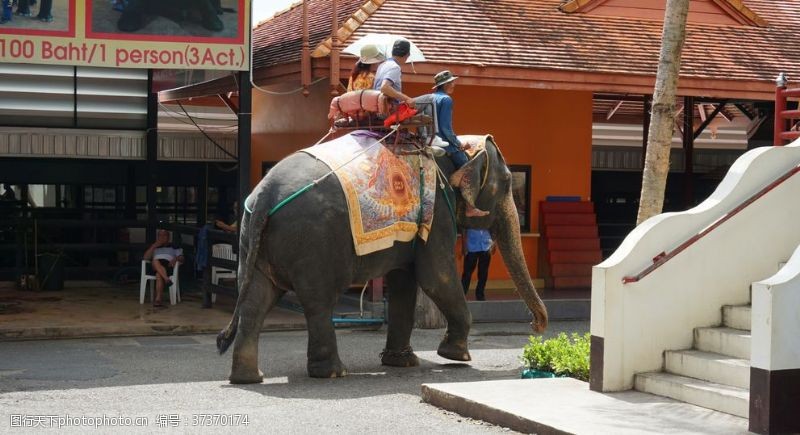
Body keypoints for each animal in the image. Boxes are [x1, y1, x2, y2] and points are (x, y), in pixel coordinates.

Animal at [216, 134, 548, 384]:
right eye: (508, 182)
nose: (536, 327)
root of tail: (266, 195)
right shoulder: (438, 212)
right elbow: (436, 277)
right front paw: (456, 357)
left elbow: (404, 284)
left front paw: (403, 362)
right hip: (313, 243)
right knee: (318, 303)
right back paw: (333, 373)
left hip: (253, 240)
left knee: (255, 300)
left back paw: (249, 378)